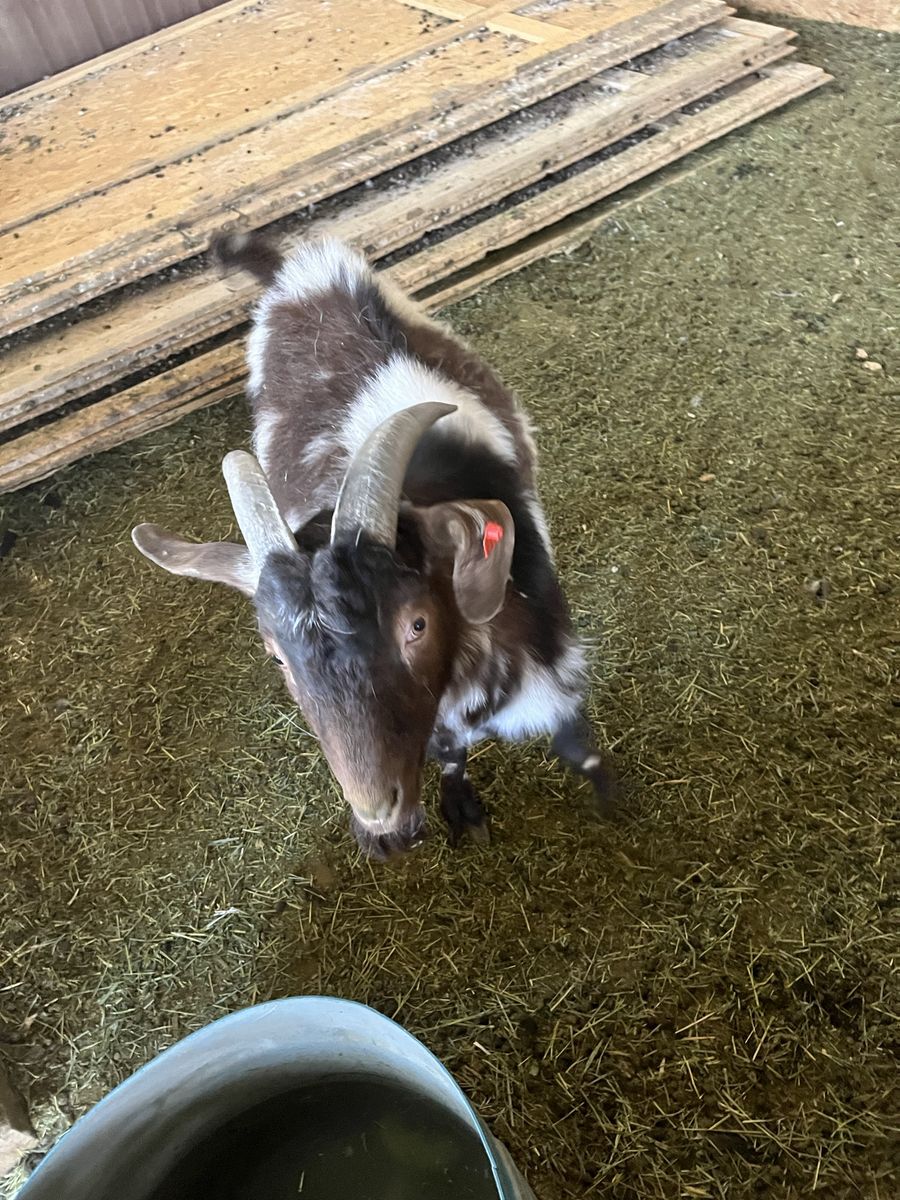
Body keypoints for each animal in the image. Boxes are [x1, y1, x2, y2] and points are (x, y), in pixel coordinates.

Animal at [132, 233, 616, 857]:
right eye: (275, 655)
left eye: (417, 624)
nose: (378, 816)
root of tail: (295, 269)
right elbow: (450, 753)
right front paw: (461, 808)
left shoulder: (551, 659)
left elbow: (576, 743)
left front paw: (614, 799)